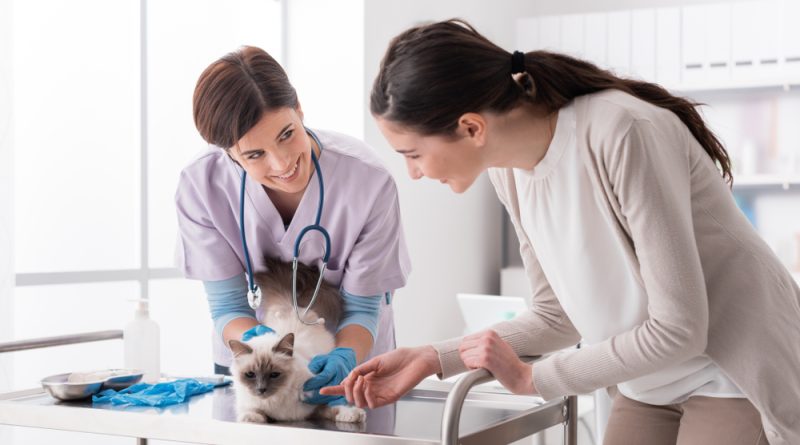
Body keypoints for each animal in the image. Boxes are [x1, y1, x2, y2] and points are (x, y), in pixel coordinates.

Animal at [227, 256, 368, 424]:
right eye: (250, 375)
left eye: (274, 375)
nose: (261, 389)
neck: (277, 401)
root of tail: (290, 306)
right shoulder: (251, 404)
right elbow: (252, 411)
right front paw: (251, 418)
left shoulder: (317, 399)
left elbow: (336, 405)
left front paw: (353, 415)